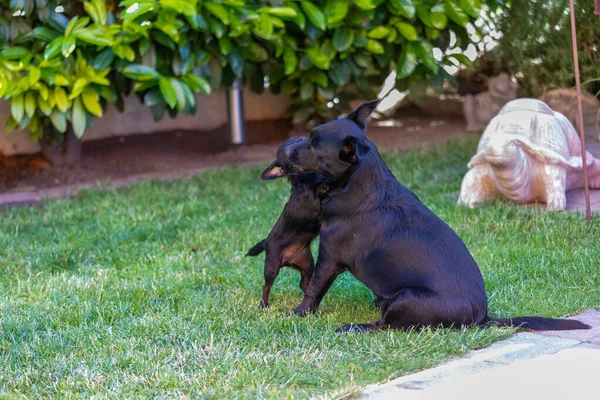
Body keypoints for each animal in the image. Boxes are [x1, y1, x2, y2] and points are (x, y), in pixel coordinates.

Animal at [245, 136, 326, 308]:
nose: (303, 137)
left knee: (304, 283)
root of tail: (266, 242)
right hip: (272, 266)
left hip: (307, 263)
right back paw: (263, 304)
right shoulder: (314, 201)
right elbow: (320, 189)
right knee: (266, 286)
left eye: (299, 139)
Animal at [284, 100, 592, 332]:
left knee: (386, 325)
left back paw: (356, 327)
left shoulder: (329, 257)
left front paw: (298, 313)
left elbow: (313, 289)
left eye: (314, 145)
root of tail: (482, 318)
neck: (358, 182)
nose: (287, 148)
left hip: (406, 297)